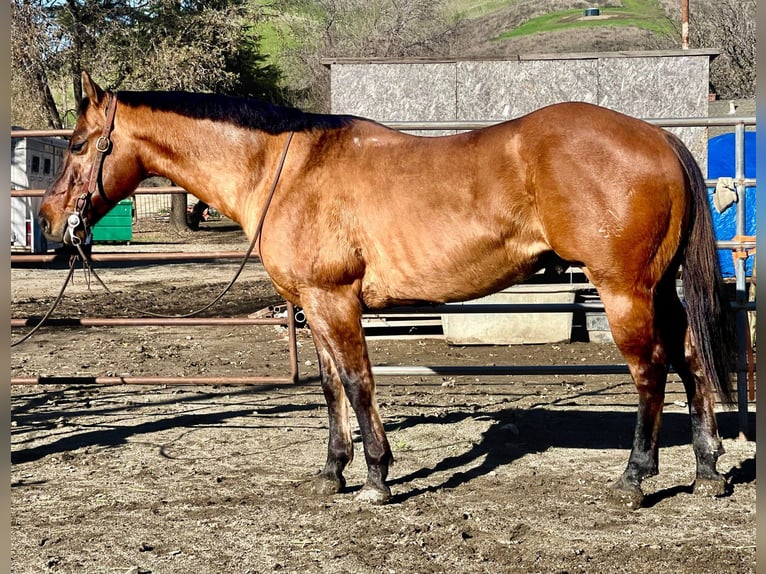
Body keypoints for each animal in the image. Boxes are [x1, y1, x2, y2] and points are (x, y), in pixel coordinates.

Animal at [39, 71, 736, 508]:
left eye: (78, 143)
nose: (48, 221)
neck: (287, 170)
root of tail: (659, 137)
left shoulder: (334, 300)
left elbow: (357, 384)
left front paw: (376, 477)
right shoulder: (313, 306)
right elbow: (329, 390)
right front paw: (332, 473)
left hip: (624, 290)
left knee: (650, 370)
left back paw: (635, 477)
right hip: (661, 288)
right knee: (691, 358)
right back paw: (708, 470)